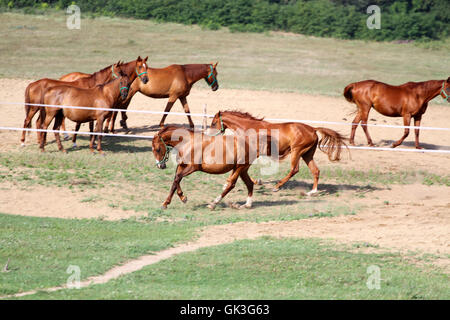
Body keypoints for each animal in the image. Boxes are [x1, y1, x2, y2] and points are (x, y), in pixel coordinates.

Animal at [211, 110, 348, 195]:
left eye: (213, 123)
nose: (210, 135)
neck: (249, 127)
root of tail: (313, 129)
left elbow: (242, 170)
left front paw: (256, 182)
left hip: (297, 151)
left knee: (294, 169)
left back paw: (277, 187)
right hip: (307, 154)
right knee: (315, 171)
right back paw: (312, 192)